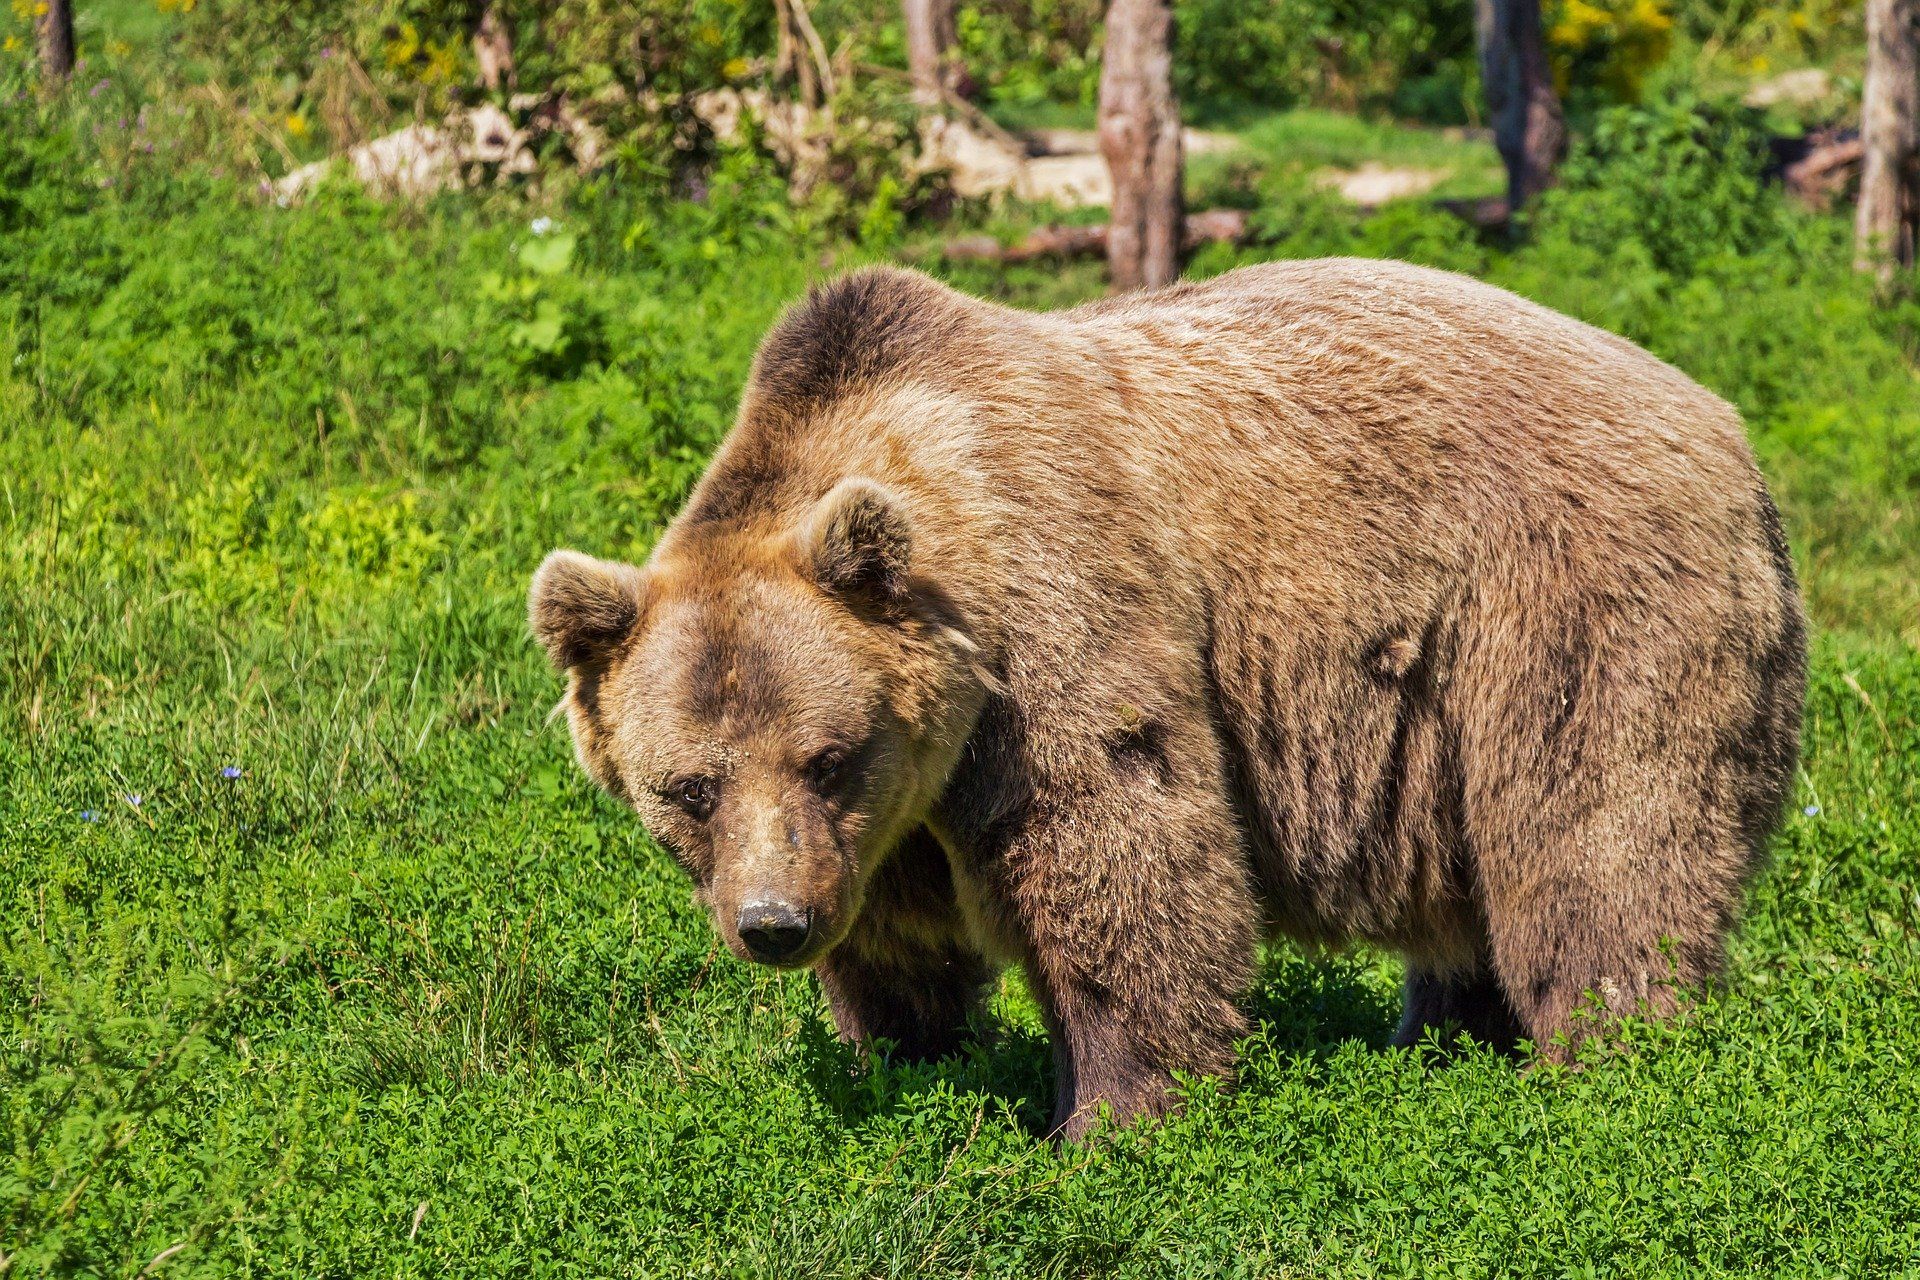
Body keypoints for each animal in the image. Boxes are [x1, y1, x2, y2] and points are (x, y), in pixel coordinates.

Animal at [526, 260, 1797, 1143]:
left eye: (827, 754)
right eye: (688, 787)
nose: (774, 923)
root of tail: (1728, 426)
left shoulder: (1053, 625)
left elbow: (1117, 849)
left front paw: (1110, 1116)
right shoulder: (888, 817)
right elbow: (897, 939)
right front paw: (910, 1059)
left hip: (1565, 602)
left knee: (1596, 836)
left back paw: (1606, 1055)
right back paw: (1442, 1035)